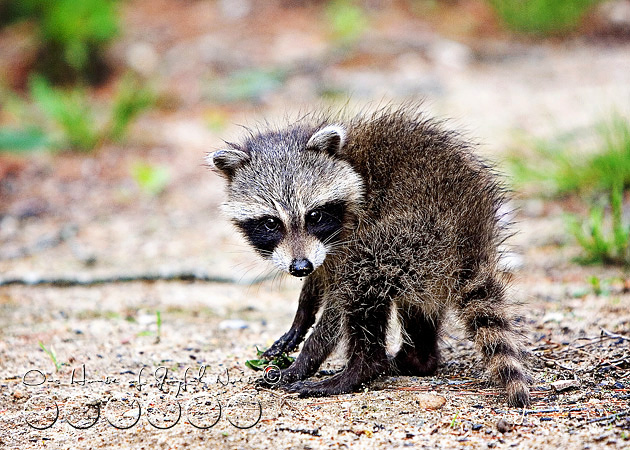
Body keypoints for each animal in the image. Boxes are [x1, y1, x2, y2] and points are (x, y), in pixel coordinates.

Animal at [207, 105, 532, 408]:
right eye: (271, 223)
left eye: (314, 216)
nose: (299, 267)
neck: (348, 162)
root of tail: (472, 237)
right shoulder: (320, 252)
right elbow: (318, 279)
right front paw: (301, 317)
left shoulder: (352, 233)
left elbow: (336, 305)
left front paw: (305, 359)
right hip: (429, 263)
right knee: (414, 302)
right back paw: (417, 358)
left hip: (414, 234)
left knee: (363, 279)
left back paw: (361, 368)